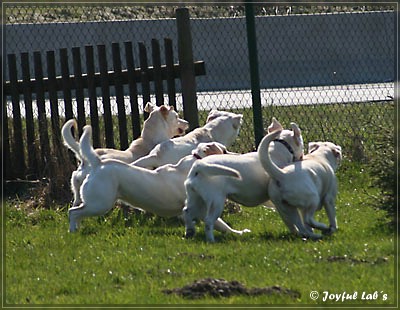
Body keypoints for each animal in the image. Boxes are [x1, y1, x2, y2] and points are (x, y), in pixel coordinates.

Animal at [68, 123, 247, 232]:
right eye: (224, 151)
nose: (238, 155)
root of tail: (97, 164)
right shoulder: (200, 208)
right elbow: (221, 224)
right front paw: (239, 232)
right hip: (100, 203)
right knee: (73, 212)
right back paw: (73, 231)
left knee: (77, 212)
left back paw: (77, 228)